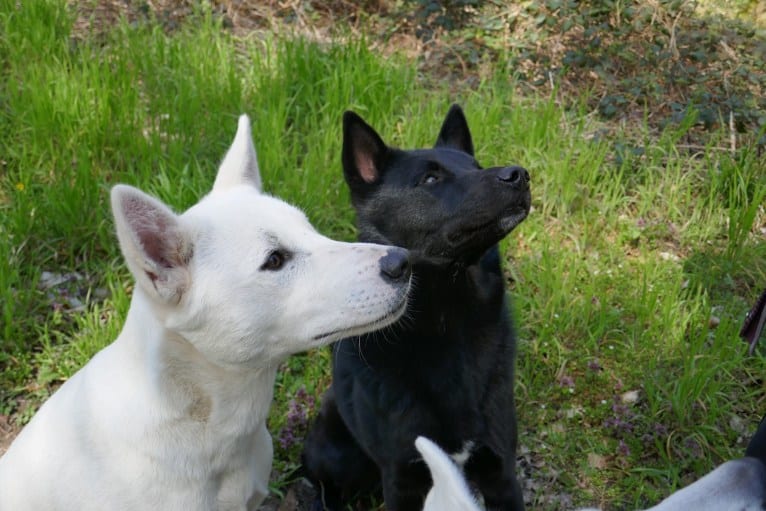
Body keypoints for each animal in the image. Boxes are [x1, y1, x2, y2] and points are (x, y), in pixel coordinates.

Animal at [304, 105, 532, 511]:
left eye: (476, 165)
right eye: (430, 178)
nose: (519, 175)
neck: (448, 317)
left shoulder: (500, 470)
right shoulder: (403, 478)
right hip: (334, 454)